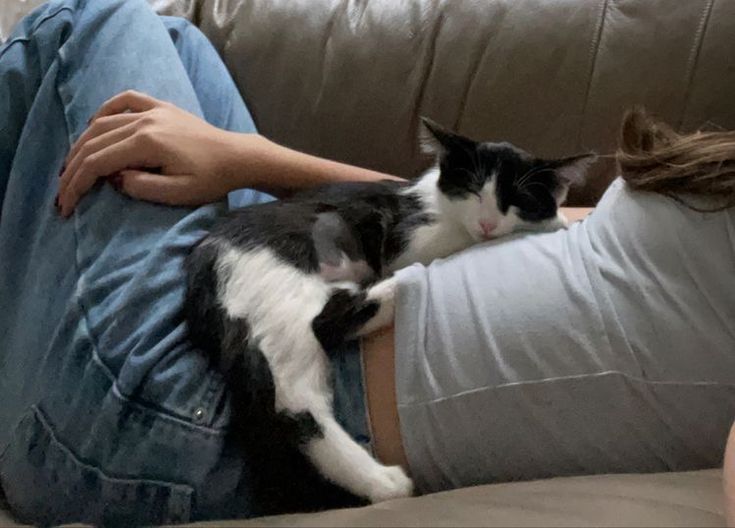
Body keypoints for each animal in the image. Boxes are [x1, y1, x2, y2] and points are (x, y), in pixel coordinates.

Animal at [185, 117, 600, 506]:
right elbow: (455, 242)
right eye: (471, 190)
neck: (438, 202)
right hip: (282, 282)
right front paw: (556, 221)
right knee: (303, 376)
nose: (487, 224)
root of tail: (205, 265)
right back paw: (383, 482)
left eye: (516, 200)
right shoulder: (410, 238)